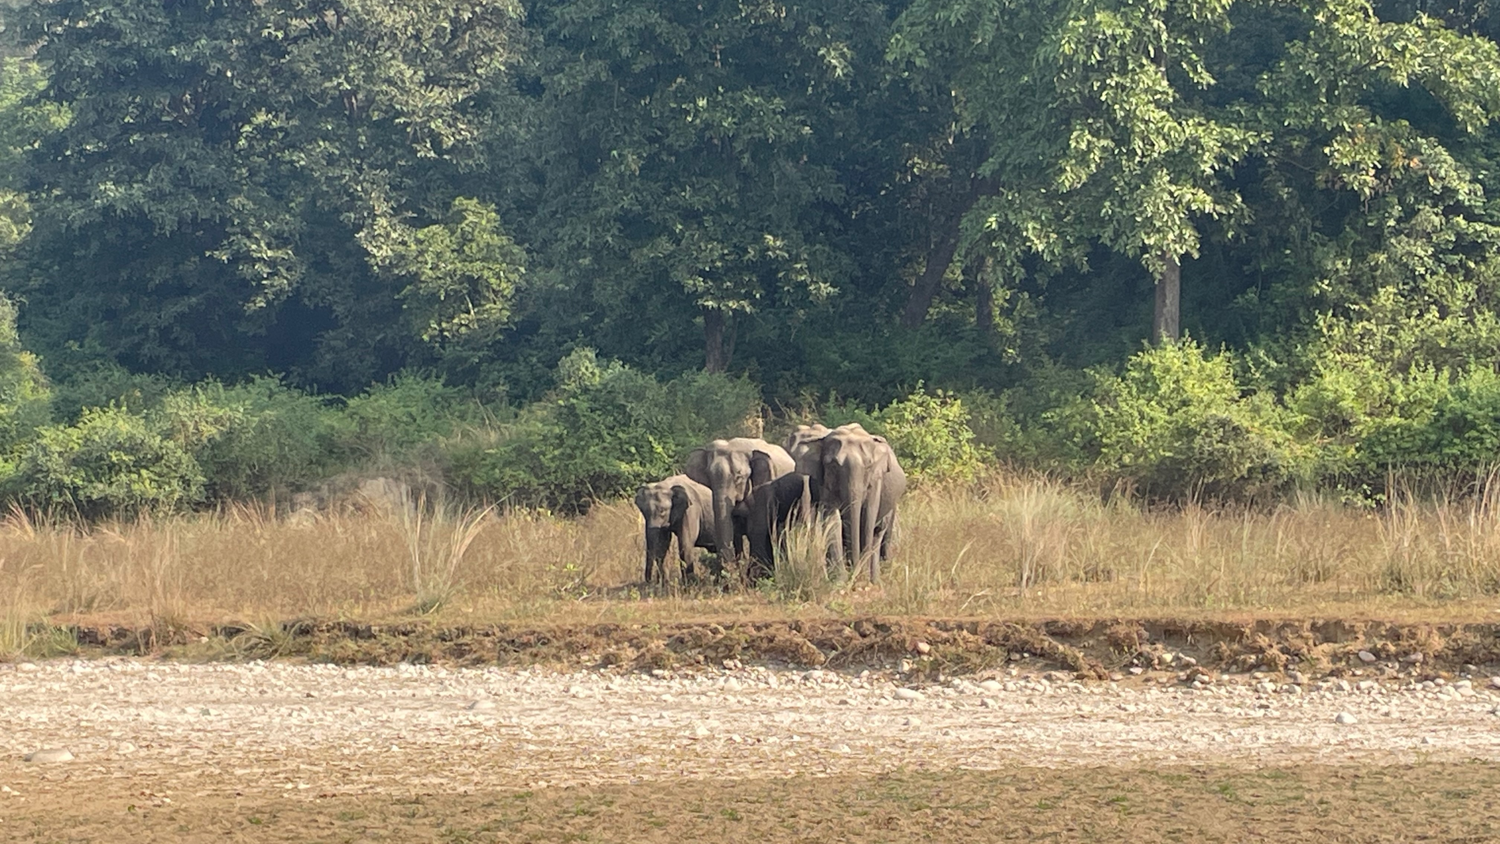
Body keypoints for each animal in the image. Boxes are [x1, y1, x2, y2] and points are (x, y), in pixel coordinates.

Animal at [683, 437, 795, 579]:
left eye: (739, 477)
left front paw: (756, 577)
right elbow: (734, 531)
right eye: (709, 476)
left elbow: (756, 529)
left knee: (781, 531)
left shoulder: (764, 488)